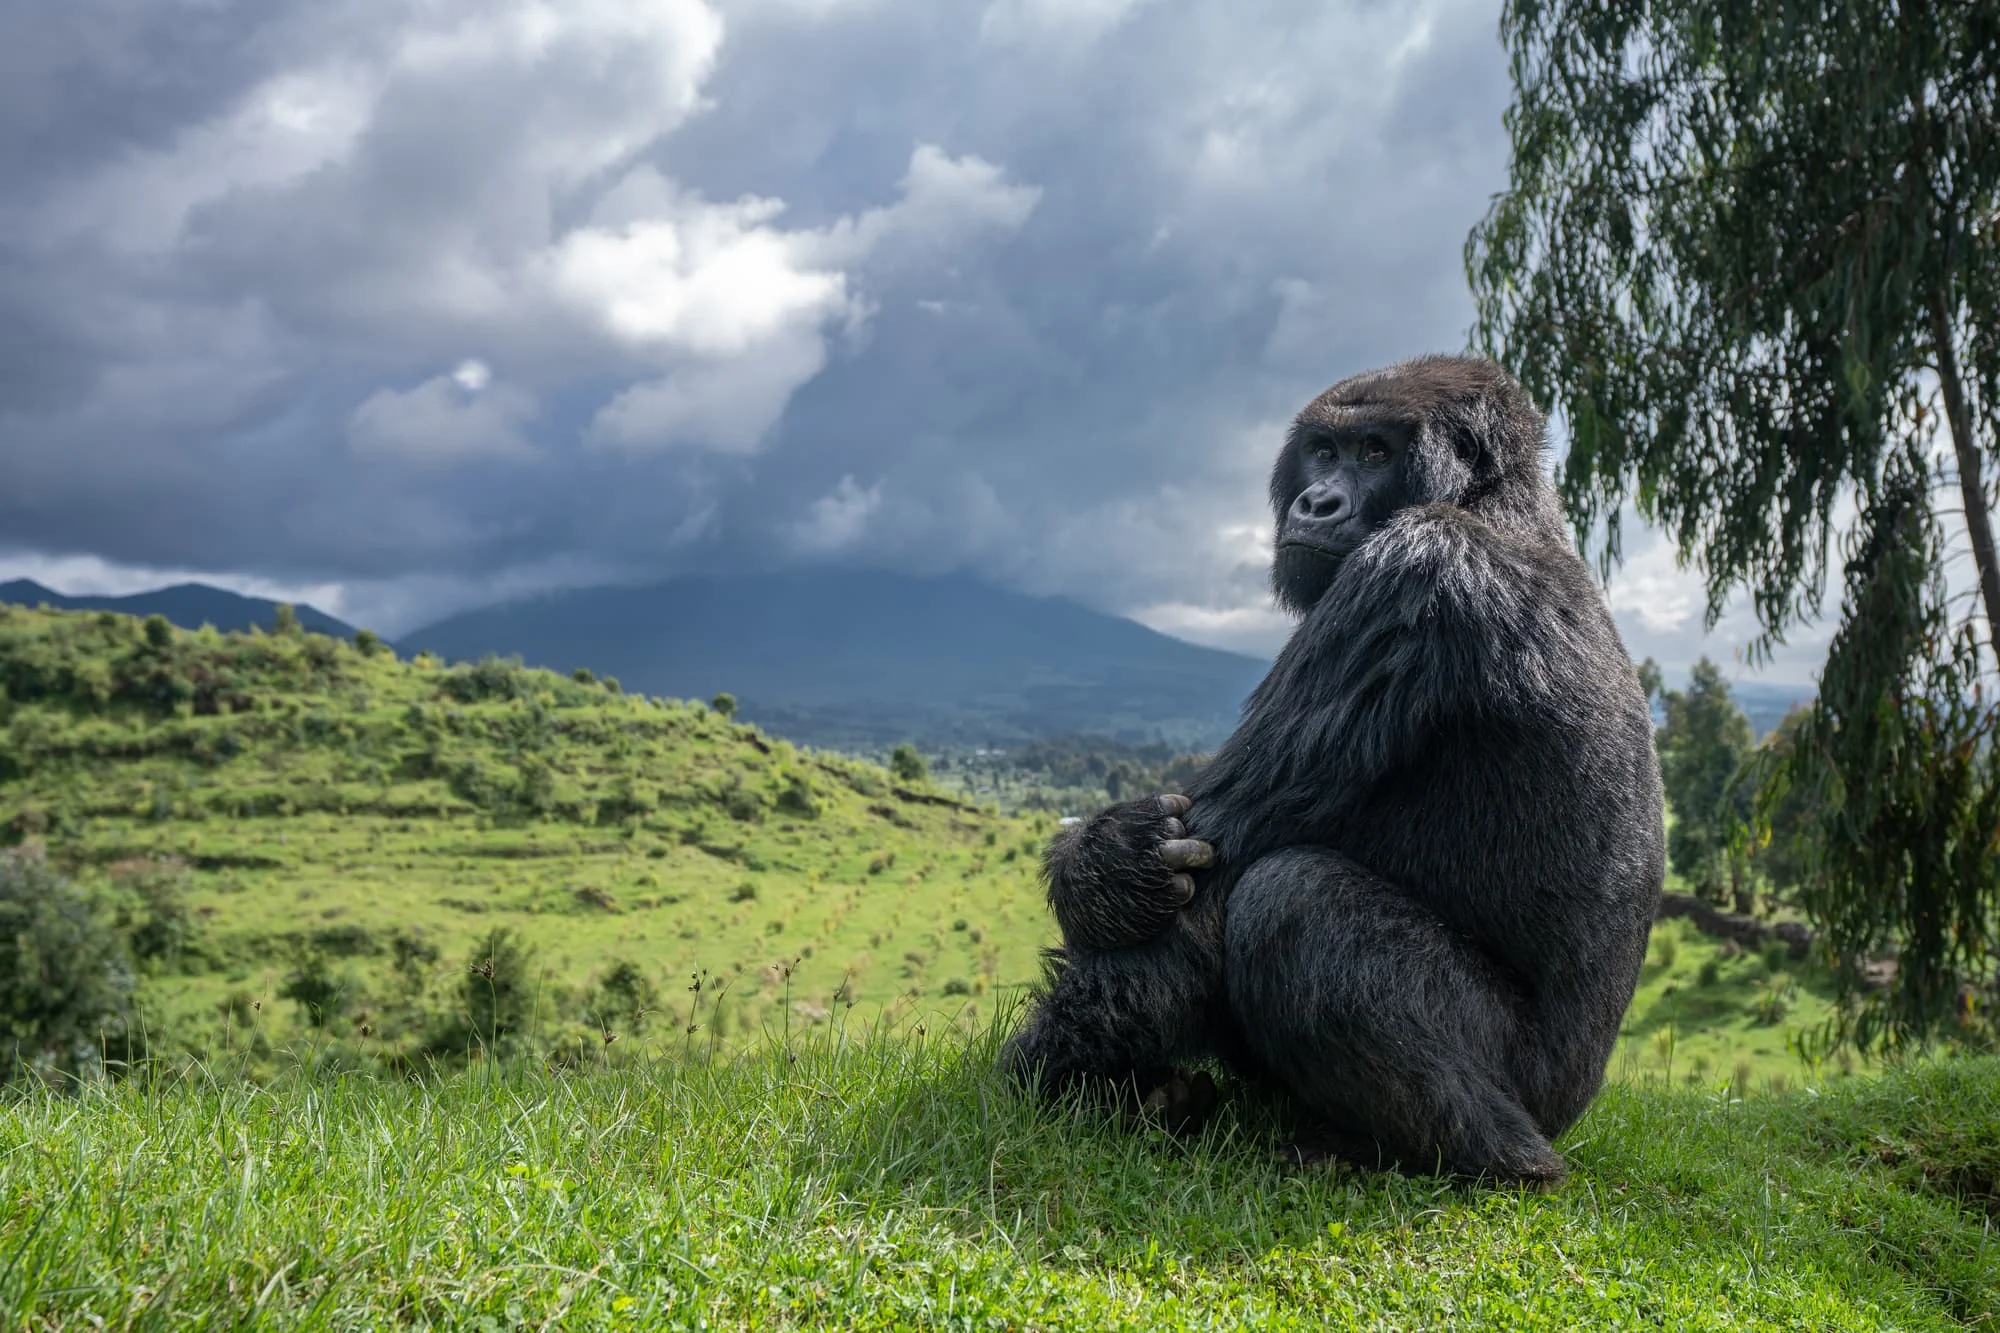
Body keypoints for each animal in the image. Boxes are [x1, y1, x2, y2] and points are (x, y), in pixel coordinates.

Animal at [1008, 350, 1664, 1176]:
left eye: (1375, 451)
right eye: (1324, 451)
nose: (1317, 501)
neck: (1497, 504)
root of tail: (1573, 1109)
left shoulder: (1414, 571)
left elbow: (1210, 877)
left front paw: (1059, 1060)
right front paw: (1106, 860)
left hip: (1531, 1088)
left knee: (1291, 896)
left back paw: (1459, 1155)